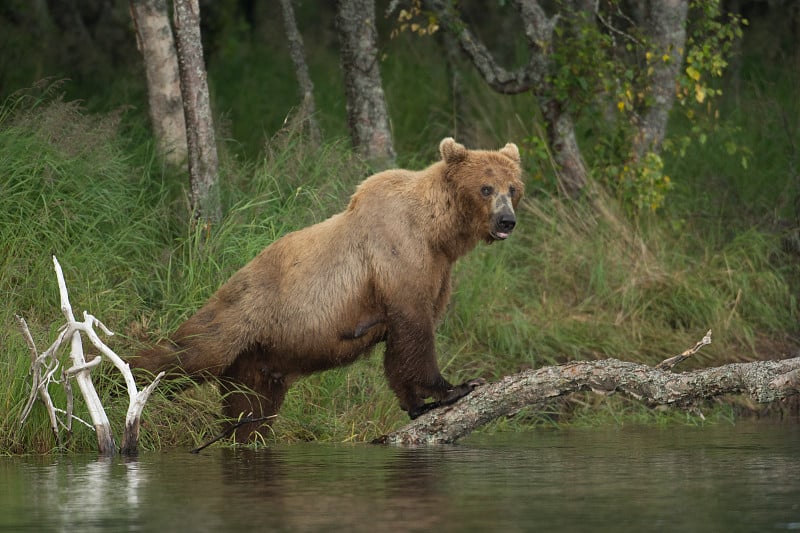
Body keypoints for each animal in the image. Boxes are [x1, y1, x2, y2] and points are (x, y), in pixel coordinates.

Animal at [133, 137, 524, 440]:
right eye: (486, 188)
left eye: (514, 189)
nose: (507, 220)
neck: (437, 232)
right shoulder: (397, 257)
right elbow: (414, 332)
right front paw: (454, 388)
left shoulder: (436, 270)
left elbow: (400, 346)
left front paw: (416, 403)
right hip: (241, 313)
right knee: (190, 352)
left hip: (258, 364)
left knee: (249, 412)